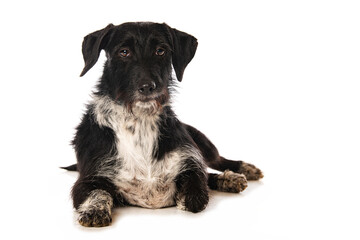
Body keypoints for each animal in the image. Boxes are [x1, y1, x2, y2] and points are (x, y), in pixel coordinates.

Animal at [63, 22, 262, 227]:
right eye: (124, 52)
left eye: (160, 51)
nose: (147, 87)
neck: (139, 123)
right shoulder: (87, 179)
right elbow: (98, 193)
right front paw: (95, 210)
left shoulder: (190, 160)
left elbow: (197, 192)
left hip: (203, 141)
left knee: (216, 161)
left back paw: (241, 171)